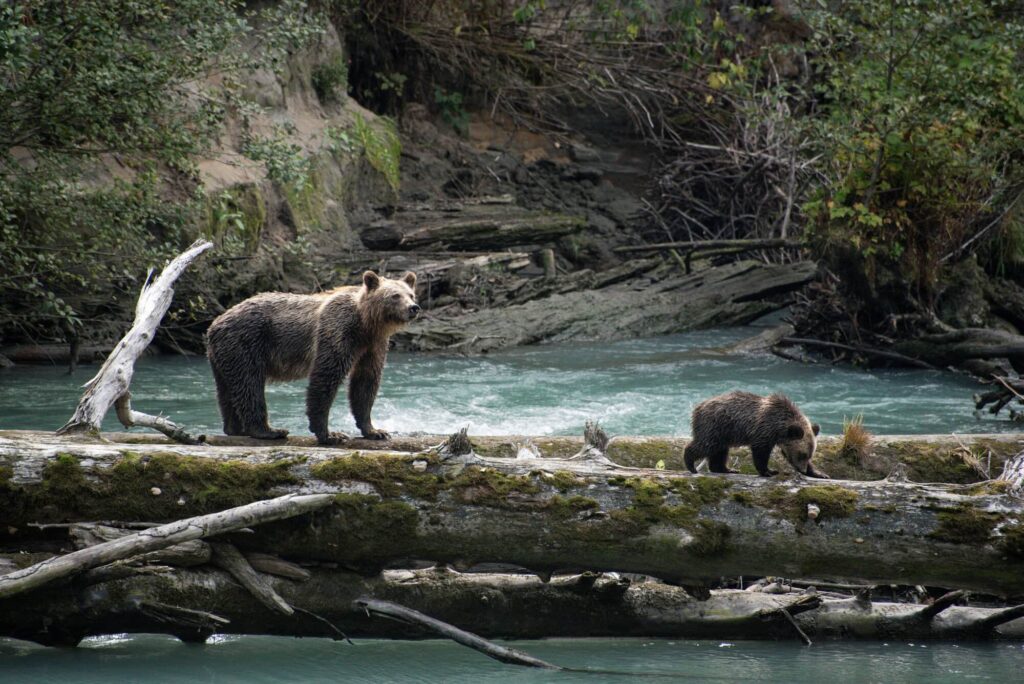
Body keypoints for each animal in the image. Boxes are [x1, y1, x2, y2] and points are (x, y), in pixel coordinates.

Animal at [205, 270, 419, 444]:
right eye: (395, 295)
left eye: (411, 294)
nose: (414, 307)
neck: (366, 323)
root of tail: (214, 324)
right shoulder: (338, 330)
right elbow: (326, 375)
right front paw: (330, 434)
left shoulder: (373, 346)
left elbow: (366, 383)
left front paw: (375, 431)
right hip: (246, 342)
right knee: (250, 384)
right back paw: (269, 430)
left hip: (222, 355)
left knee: (227, 389)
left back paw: (235, 428)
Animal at [683, 391, 828, 478]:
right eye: (801, 454)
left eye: (809, 455)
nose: (803, 470)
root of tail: (698, 407)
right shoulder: (764, 431)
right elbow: (760, 453)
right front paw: (769, 471)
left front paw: (819, 473)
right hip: (715, 426)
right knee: (705, 445)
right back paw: (691, 465)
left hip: (723, 433)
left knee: (720, 451)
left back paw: (726, 469)